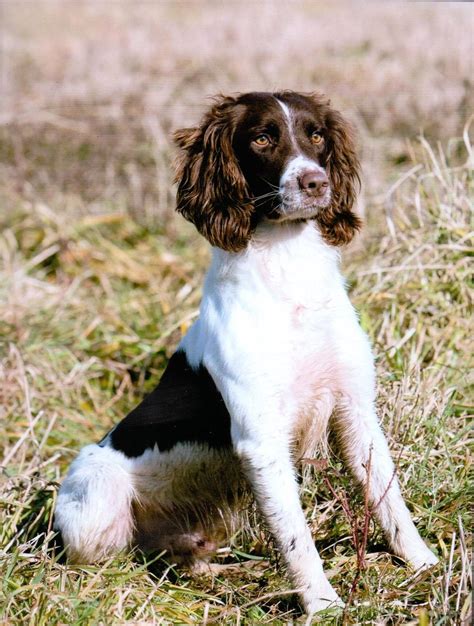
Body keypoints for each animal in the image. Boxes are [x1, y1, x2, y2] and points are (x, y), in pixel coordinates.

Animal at [54, 90, 436, 612]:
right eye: (261, 138)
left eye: (317, 134)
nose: (316, 183)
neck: (290, 273)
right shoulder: (261, 440)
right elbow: (297, 537)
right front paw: (322, 605)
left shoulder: (356, 411)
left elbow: (389, 499)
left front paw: (424, 566)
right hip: (96, 498)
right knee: (109, 557)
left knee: (176, 556)